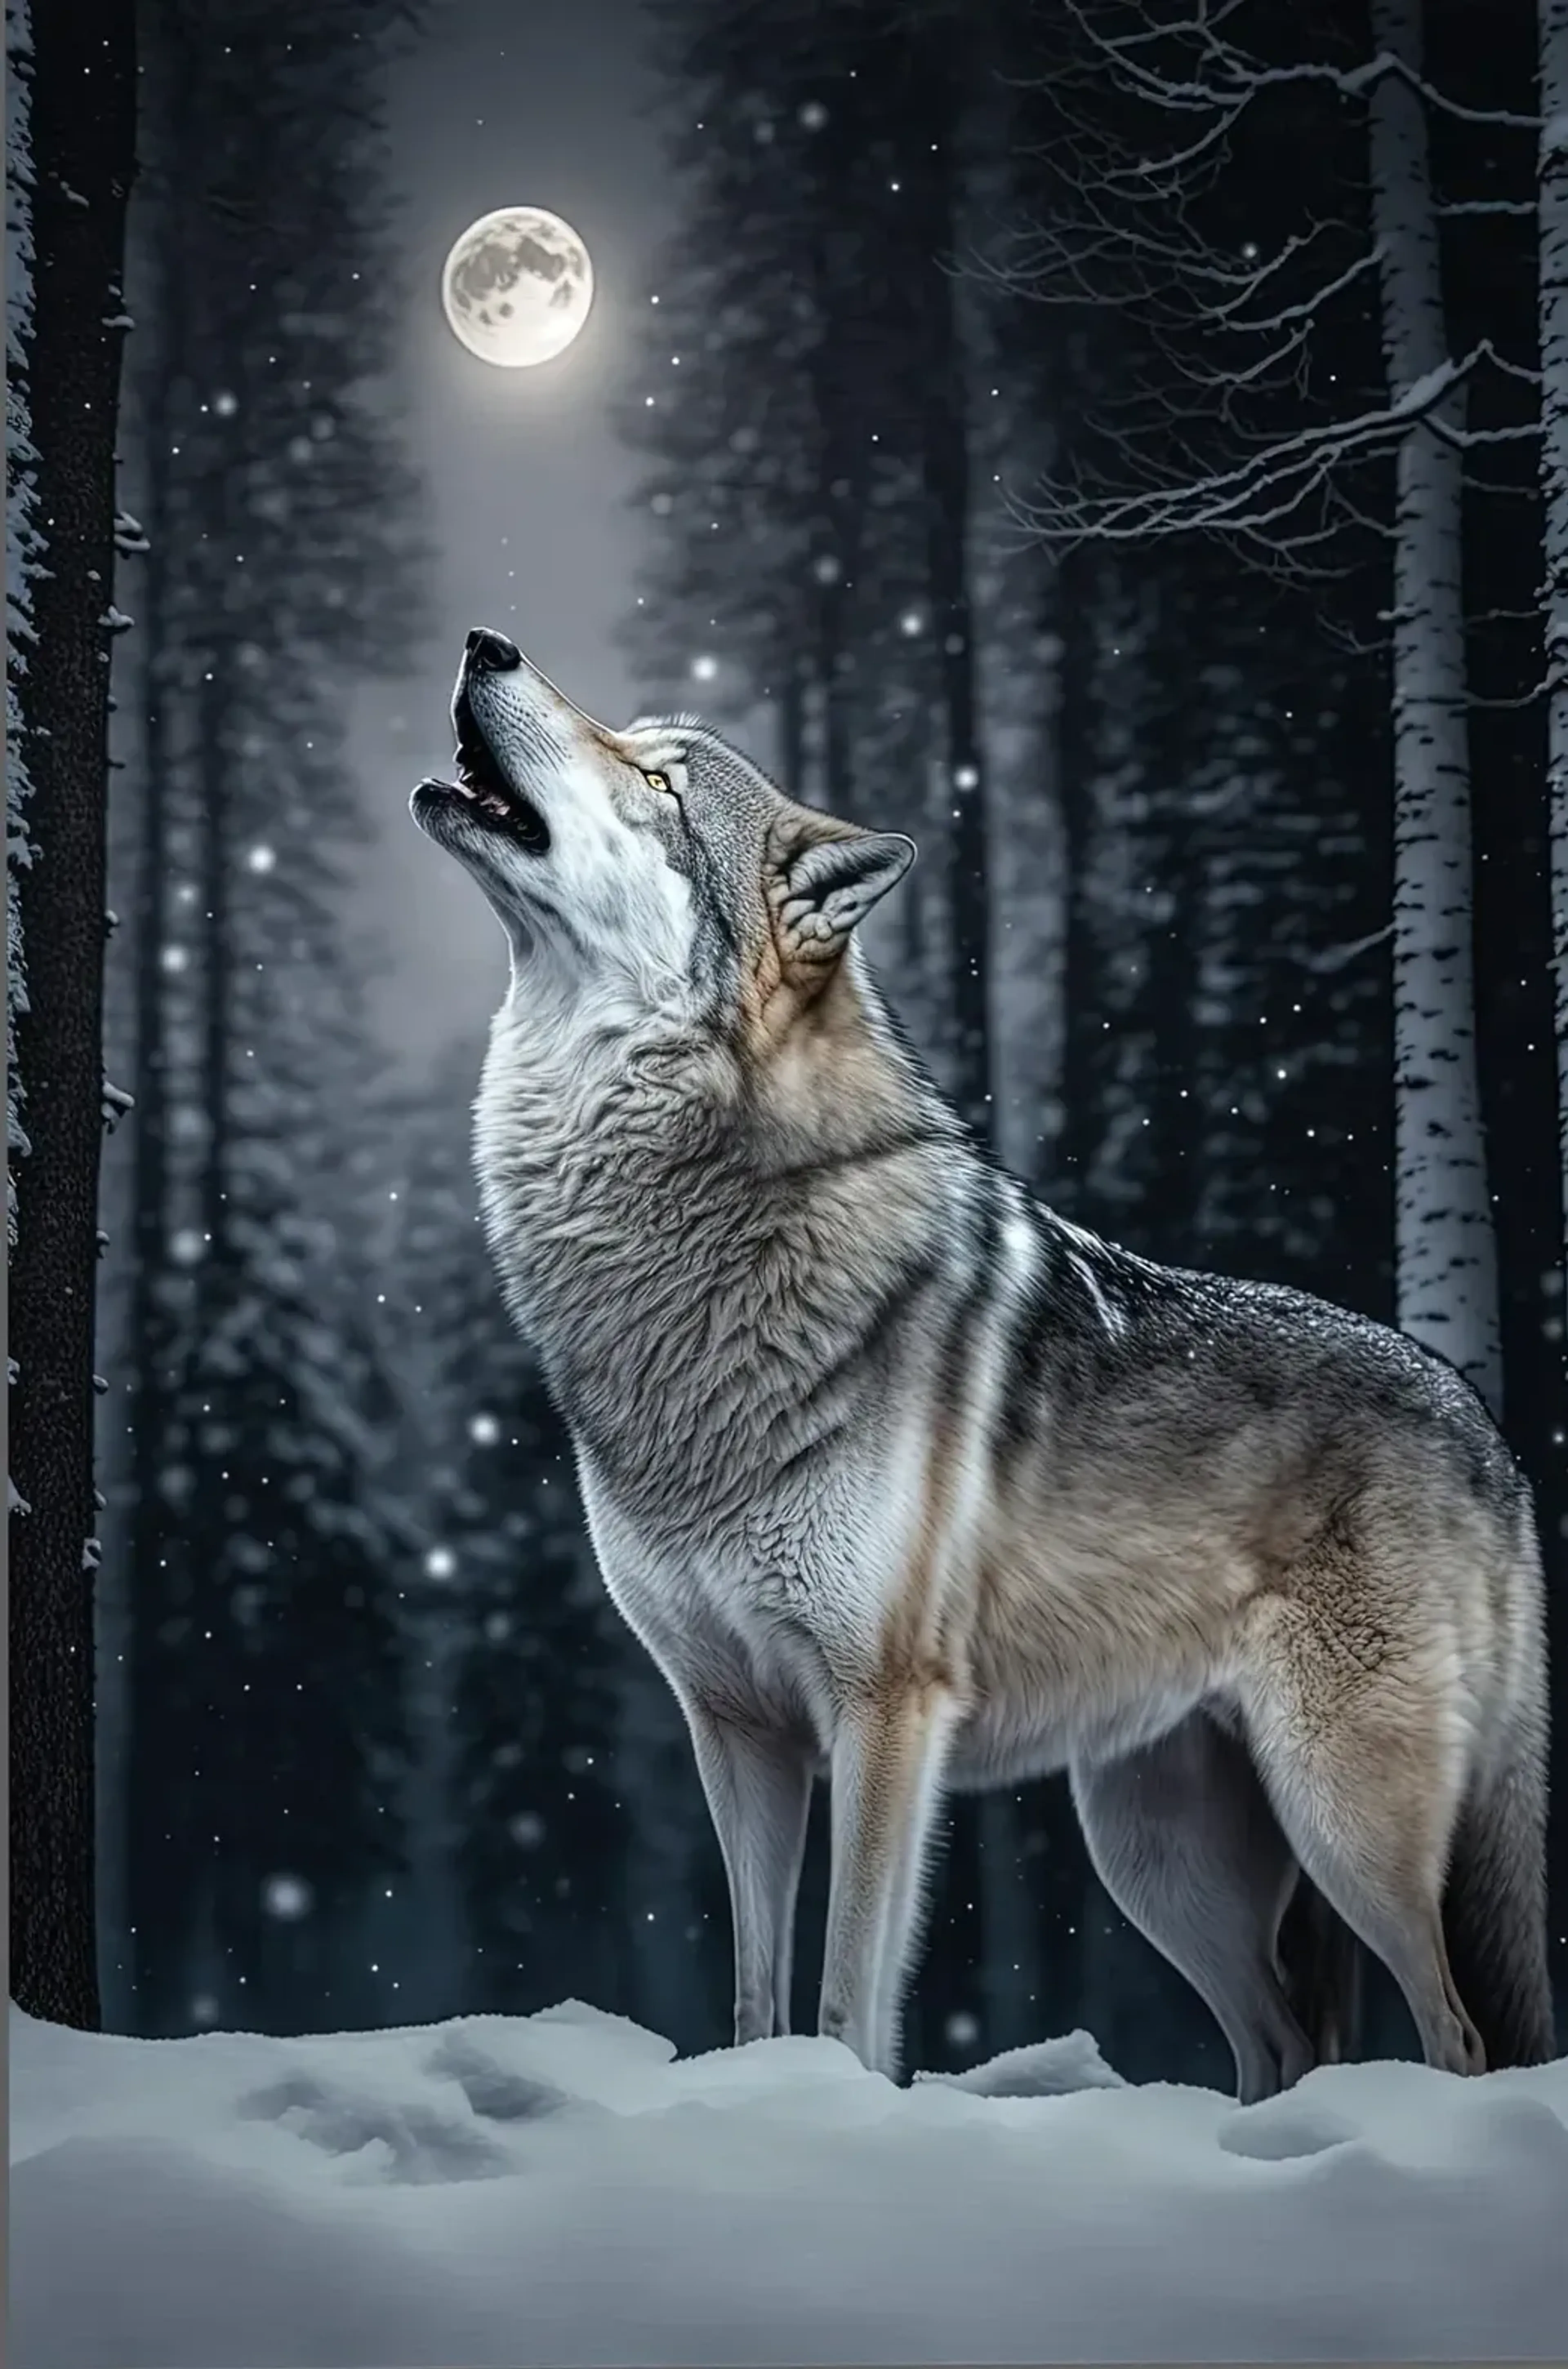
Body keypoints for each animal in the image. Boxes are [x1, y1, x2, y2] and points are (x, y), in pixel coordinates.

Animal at [411, 625, 1556, 2100]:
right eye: (634, 743)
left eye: (661, 779)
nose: (488, 643)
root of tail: (1489, 1428)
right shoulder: (737, 1726)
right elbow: (755, 1995)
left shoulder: (885, 1708)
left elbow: (846, 1995)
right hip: (1160, 1850)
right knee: (1288, 2037)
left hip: (1340, 1819)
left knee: (1457, 2036)